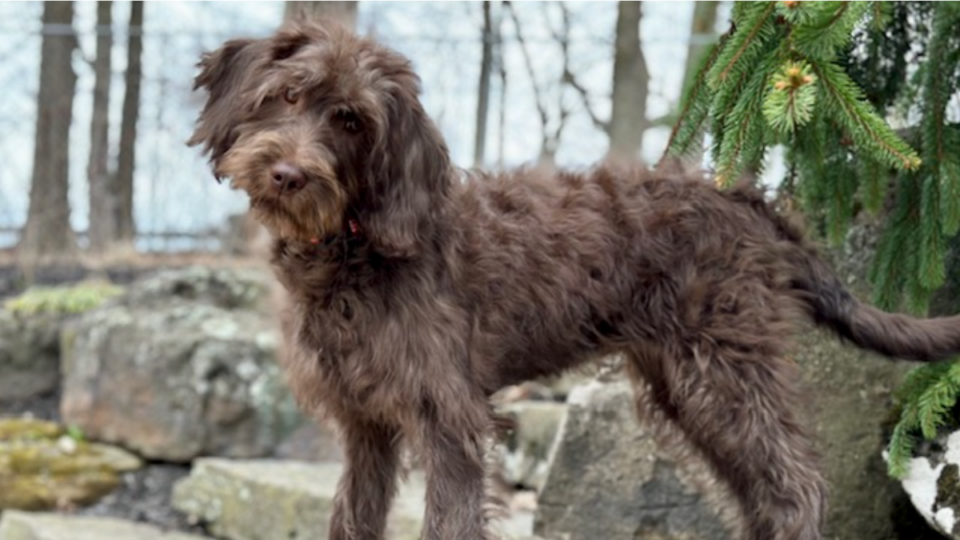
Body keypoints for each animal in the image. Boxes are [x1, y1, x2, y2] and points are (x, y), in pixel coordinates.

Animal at [191, 17, 960, 540]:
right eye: (287, 96)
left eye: (351, 121)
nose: (288, 174)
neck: (354, 251)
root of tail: (750, 199)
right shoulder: (366, 426)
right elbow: (353, 517)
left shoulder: (449, 419)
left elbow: (449, 520)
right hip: (691, 388)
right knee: (762, 491)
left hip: (725, 372)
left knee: (796, 485)